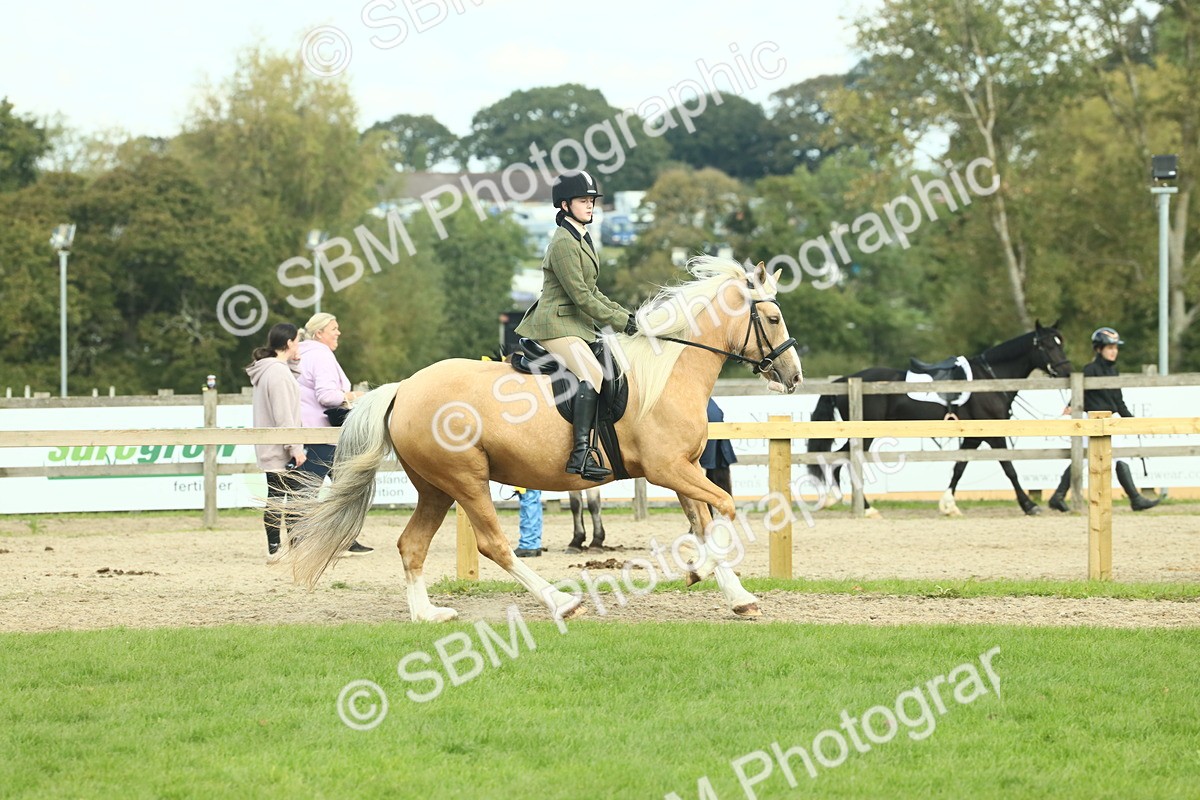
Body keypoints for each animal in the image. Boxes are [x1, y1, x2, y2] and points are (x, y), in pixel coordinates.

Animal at [281, 258, 803, 621]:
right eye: (773, 318)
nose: (794, 376)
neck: (668, 372)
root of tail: (404, 388)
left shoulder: (685, 470)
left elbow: (703, 524)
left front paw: (736, 596)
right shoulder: (668, 470)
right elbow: (726, 509)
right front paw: (699, 571)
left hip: (435, 487)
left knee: (412, 544)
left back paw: (428, 614)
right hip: (466, 480)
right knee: (494, 545)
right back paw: (562, 603)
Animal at [806, 321, 1071, 517]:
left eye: (1061, 342)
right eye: (1047, 344)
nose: (1066, 370)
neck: (990, 379)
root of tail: (846, 379)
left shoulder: (974, 437)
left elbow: (959, 468)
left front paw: (948, 505)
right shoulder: (993, 435)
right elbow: (1010, 469)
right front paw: (1029, 505)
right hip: (865, 434)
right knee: (845, 459)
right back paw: (866, 508)